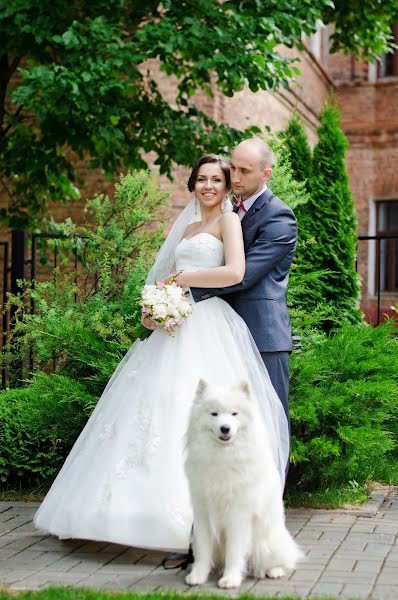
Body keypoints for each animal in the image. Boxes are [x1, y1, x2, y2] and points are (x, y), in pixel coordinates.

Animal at [183, 380, 302, 584]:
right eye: (214, 413)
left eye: (234, 413)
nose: (225, 428)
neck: (222, 455)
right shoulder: (203, 513)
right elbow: (203, 551)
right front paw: (198, 575)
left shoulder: (238, 515)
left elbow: (234, 552)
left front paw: (230, 579)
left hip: (267, 542)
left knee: (283, 561)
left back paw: (275, 571)